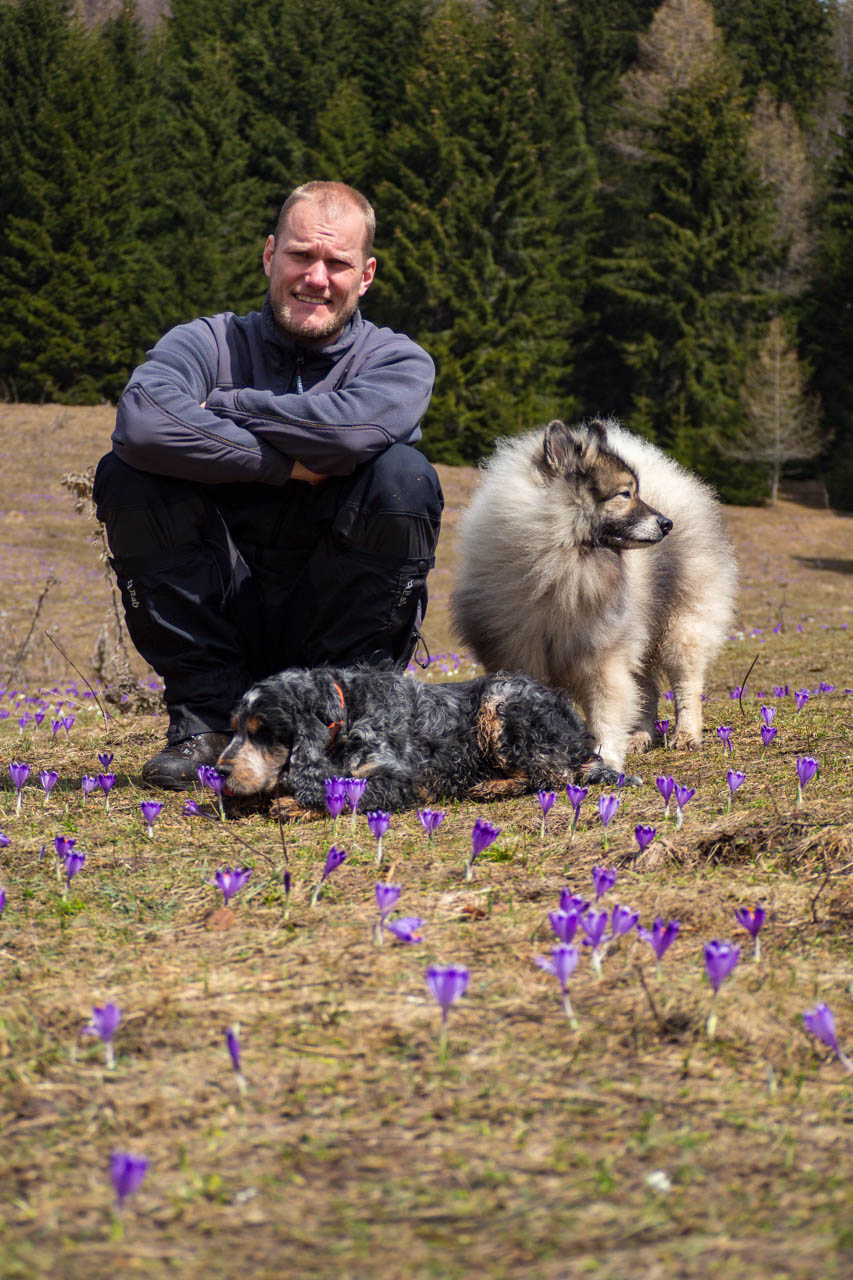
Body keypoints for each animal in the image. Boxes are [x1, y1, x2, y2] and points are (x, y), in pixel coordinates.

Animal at [448, 419, 732, 778]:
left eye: (635, 491)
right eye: (625, 494)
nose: (667, 523)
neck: (560, 568)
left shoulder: (602, 659)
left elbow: (605, 715)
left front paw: (606, 760)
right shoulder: (524, 654)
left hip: (682, 628)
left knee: (686, 685)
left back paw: (685, 735)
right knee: (647, 691)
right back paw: (639, 737)